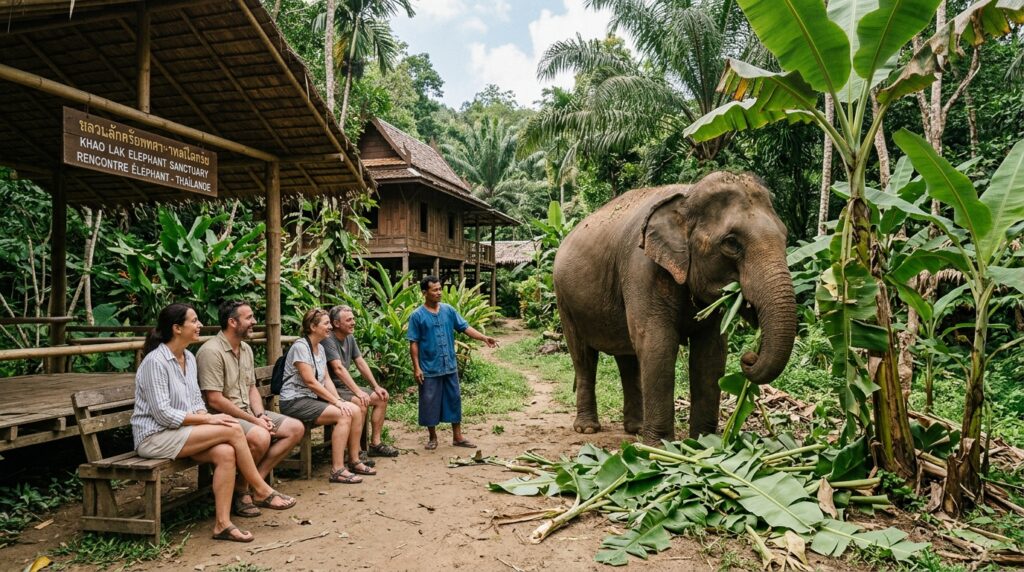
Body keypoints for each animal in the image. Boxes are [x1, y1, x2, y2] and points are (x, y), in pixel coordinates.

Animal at [552, 171, 797, 443]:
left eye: (785, 237)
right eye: (732, 243)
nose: (749, 357)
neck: (687, 196)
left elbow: (711, 352)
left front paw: (703, 442)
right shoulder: (642, 269)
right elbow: (657, 343)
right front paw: (661, 447)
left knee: (627, 359)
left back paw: (636, 428)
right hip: (564, 299)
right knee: (583, 356)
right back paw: (587, 428)